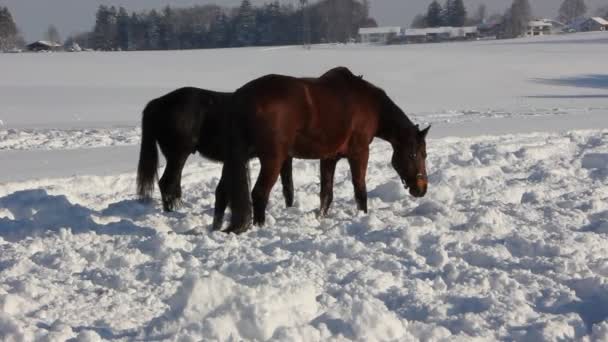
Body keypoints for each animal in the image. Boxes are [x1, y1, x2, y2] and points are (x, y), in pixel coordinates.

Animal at [135, 87, 294, 214]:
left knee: (172, 185)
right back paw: (171, 212)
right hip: (178, 156)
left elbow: (288, 185)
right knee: (167, 184)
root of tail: (158, 103)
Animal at [216, 65, 430, 234]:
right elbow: (360, 190)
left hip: (238, 159)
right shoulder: (359, 153)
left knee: (224, 192)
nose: (422, 189)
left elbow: (326, 194)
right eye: (414, 154)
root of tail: (241, 97)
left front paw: (321, 219)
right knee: (259, 193)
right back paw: (259, 227)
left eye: (425, 154)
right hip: (272, 159)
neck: (371, 105)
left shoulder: (329, 158)